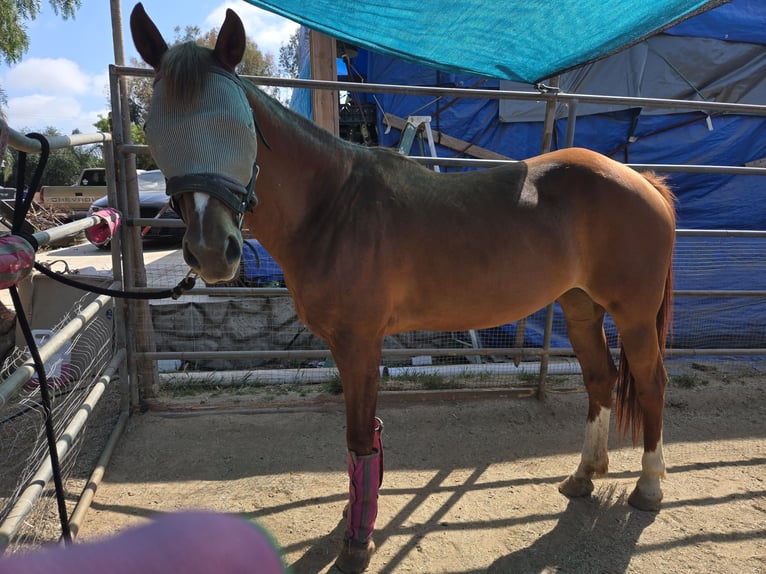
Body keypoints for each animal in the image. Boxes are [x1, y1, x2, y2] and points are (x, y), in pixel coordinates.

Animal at [130, 4, 676, 572]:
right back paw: (584, 475)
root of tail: (643, 180)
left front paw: (357, 541)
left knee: (651, 382)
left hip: (634, 314)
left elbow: (358, 438)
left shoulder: (359, 343)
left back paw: (648, 487)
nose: (212, 251)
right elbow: (365, 435)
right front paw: (355, 519)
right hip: (581, 307)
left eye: (237, 125)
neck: (334, 205)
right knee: (600, 378)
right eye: (155, 128)